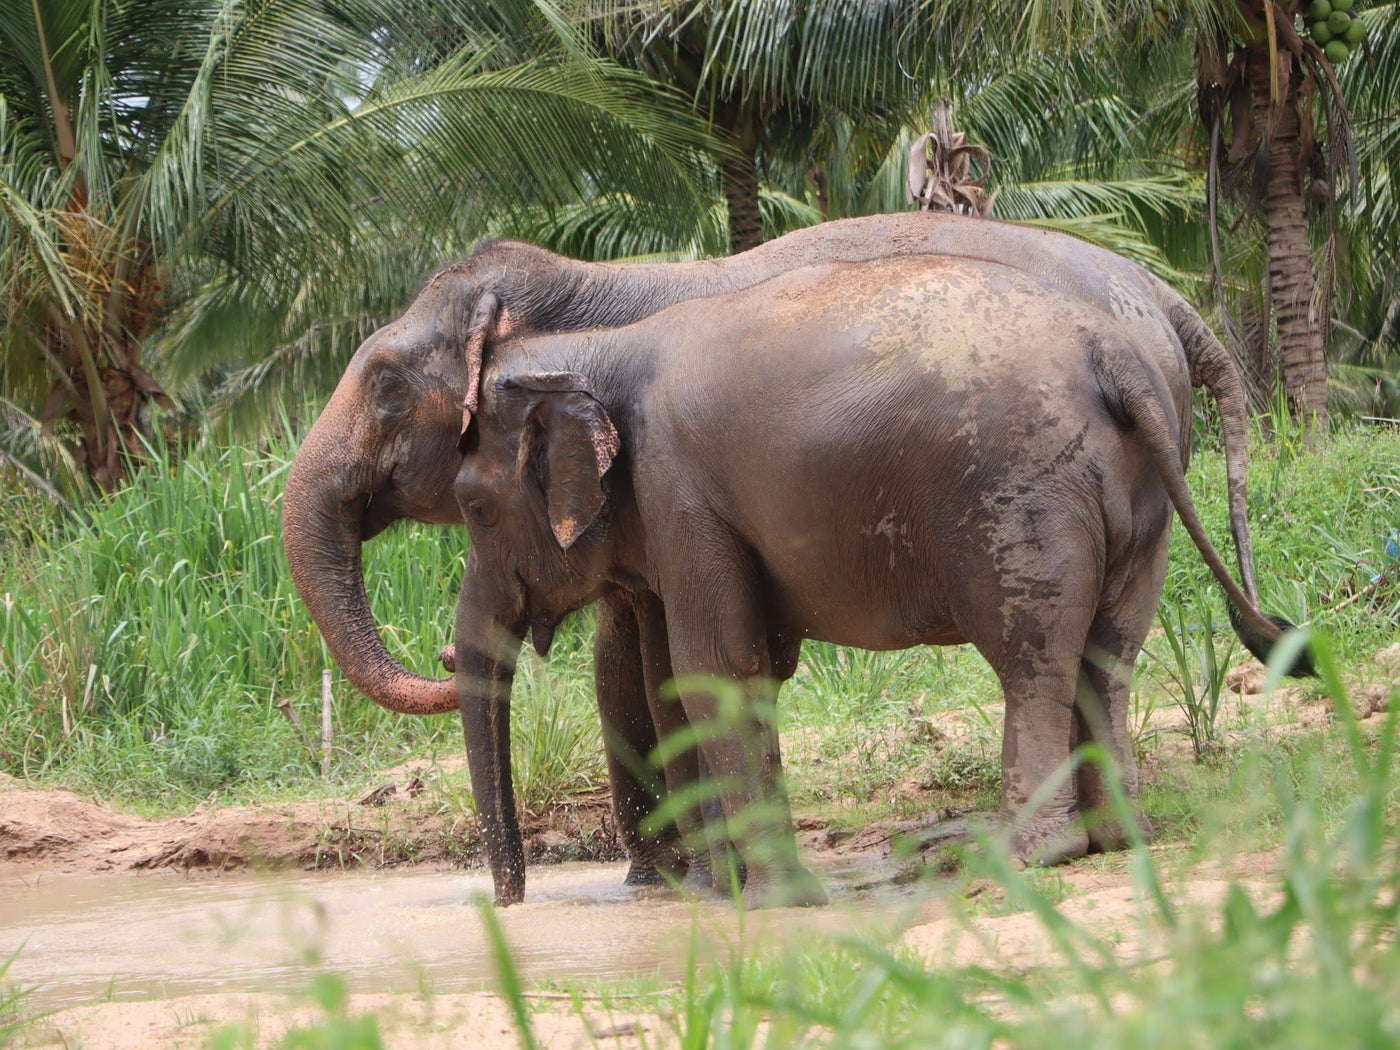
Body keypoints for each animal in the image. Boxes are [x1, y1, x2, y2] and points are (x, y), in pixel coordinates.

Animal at [282, 211, 1262, 890]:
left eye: (388, 385)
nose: (508, 903)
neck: (591, 295)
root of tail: (1163, 308)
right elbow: (639, 660)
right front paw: (668, 886)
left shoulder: (674, 485)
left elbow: (680, 666)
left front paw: (697, 888)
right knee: (1109, 651)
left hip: (1027, 492)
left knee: (1037, 654)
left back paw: (1008, 851)